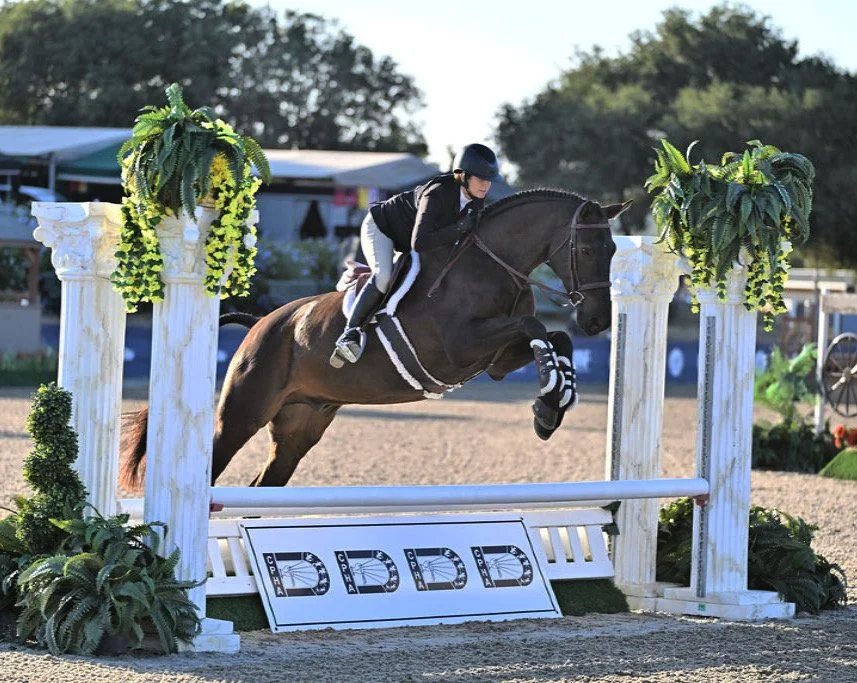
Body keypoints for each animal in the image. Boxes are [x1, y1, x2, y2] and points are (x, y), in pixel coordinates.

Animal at [120, 189, 626, 488]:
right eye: (586, 248)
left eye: (615, 248)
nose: (598, 321)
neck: (491, 264)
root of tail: (261, 324)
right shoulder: (456, 348)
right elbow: (537, 329)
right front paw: (548, 405)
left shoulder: (495, 360)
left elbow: (554, 338)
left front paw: (552, 405)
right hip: (242, 413)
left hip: (301, 425)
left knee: (266, 484)